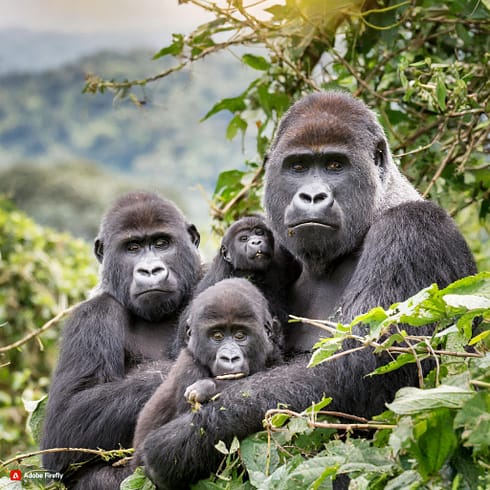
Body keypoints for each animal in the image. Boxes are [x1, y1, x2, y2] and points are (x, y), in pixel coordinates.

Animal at [132, 278, 282, 454]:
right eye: (217, 336)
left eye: (240, 335)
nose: (229, 358)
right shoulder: (189, 365)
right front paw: (205, 388)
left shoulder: (273, 354)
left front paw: (205, 388)